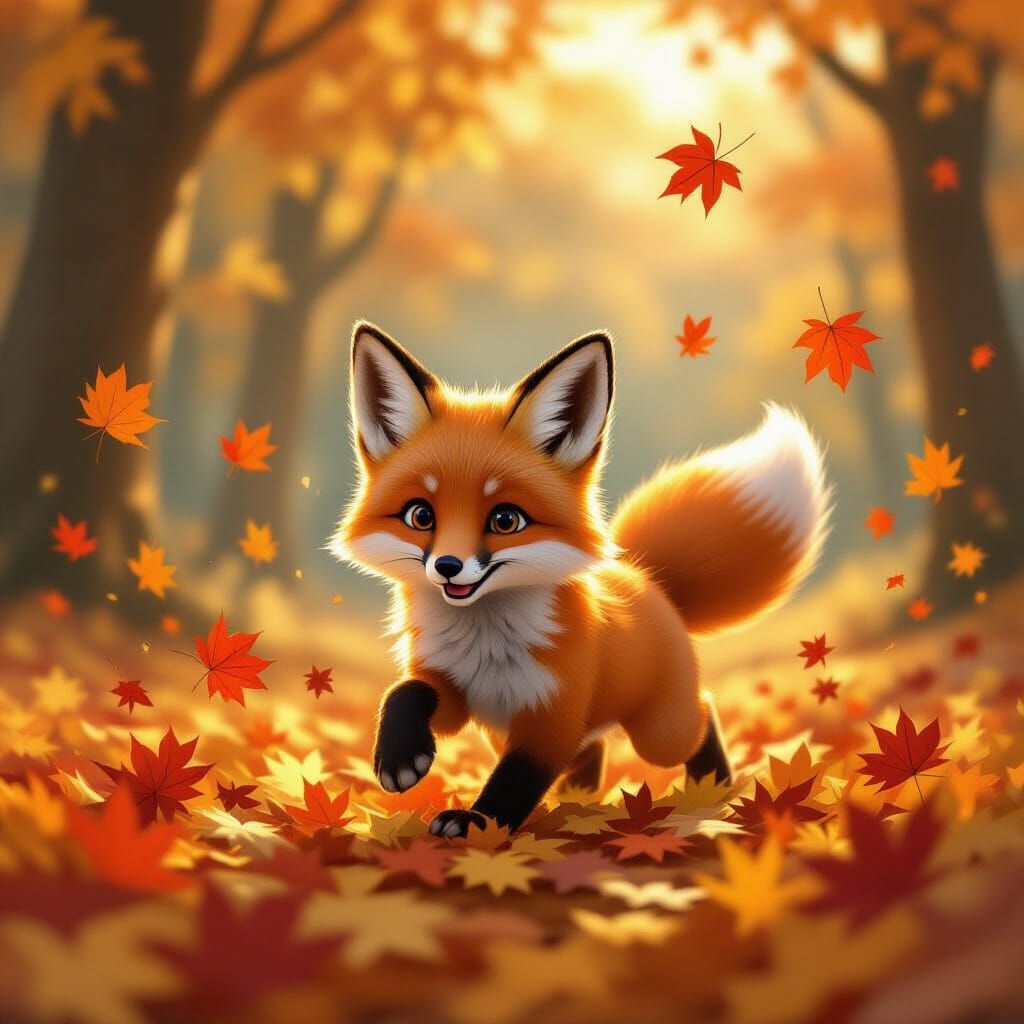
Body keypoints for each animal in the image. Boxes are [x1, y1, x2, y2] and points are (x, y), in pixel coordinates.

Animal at [332, 322, 829, 838]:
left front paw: (475, 822)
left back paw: (712, 786)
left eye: (505, 519)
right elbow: (406, 690)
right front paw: (399, 756)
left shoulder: (552, 717)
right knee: (593, 750)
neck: (487, 646)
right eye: (421, 515)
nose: (448, 565)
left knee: (702, 713)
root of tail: (647, 576)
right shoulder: (455, 693)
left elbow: (515, 780)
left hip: (660, 734)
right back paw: (581, 798)